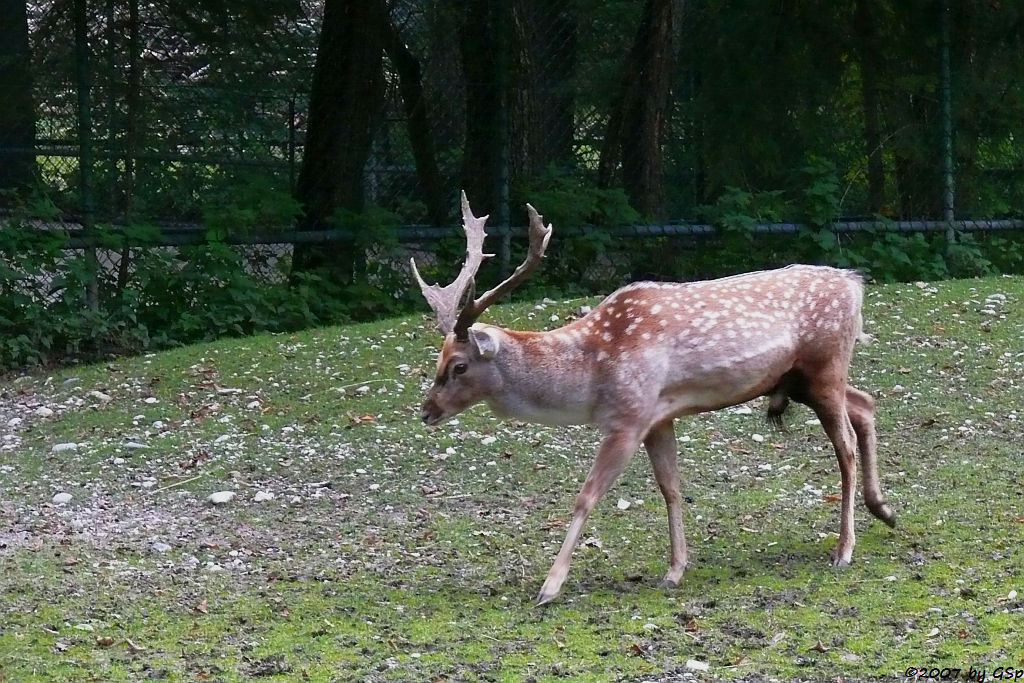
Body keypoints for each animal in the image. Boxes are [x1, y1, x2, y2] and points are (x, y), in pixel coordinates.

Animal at [411, 192, 892, 602]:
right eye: (438, 358)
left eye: (458, 366)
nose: (427, 411)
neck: (590, 374)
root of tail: (855, 284)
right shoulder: (660, 416)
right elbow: (671, 487)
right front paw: (675, 570)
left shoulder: (628, 415)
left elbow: (587, 495)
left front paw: (550, 586)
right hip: (801, 380)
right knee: (865, 403)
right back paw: (884, 509)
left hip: (825, 365)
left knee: (845, 445)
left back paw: (844, 549)